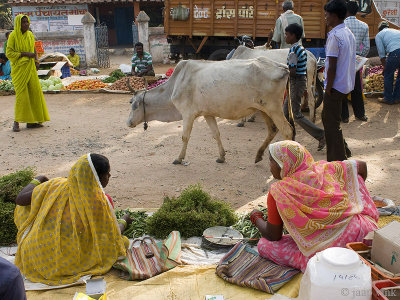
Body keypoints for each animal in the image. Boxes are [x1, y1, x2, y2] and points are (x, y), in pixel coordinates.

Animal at [128, 56, 294, 164]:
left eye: (134, 105)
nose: (128, 122)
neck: (175, 84)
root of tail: (283, 67)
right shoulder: (207, 114)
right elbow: (216, 134)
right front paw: (221, 156)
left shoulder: (188, 114)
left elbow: (184, 137)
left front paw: (179, 158)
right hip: (263, 109)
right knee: (273, 130)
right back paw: (258, 155)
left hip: (274, 109)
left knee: (287, 131)